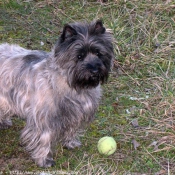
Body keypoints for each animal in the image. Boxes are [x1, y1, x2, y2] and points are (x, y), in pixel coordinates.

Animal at [0, 19, 113, 167]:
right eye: (79, 56)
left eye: (99, 53)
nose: (94, 70)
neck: (73, 86)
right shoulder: (45, 119)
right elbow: (44, 138)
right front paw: (44, 160)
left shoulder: (76, 113)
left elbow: (72, 128)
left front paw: (70, 142)